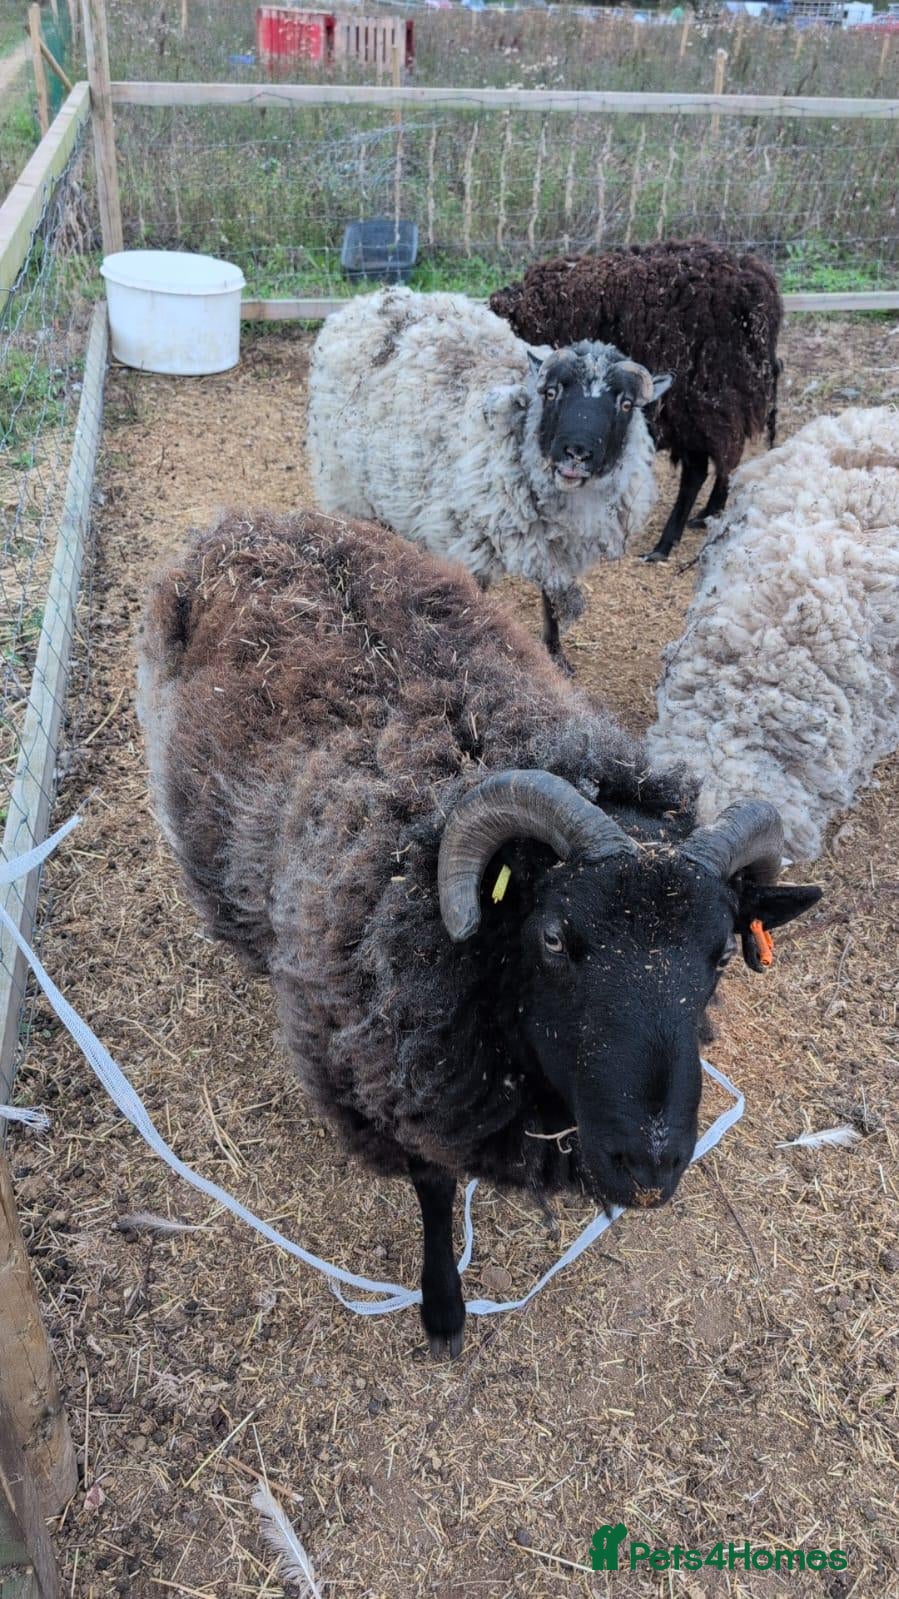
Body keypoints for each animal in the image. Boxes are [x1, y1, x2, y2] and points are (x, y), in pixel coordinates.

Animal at [137, 509, 822, 1358]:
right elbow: (433, 1191)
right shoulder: (397, 1085)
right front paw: (442, 1307)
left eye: (721, 951)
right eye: (555, 938)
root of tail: (244, 524)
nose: (650, 1167)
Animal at [306, 286, 671, 667]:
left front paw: (556, 656)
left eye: (626, 404)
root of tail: (368, 299)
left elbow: (551, 600)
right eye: (552, 392)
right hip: (344, 485)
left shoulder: (556, 550)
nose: (577, 453)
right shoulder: (470, 543)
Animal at [489, 239, 783, 562]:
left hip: (698, 403)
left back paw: (664, 544)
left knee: (700, 469)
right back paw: (708, 513)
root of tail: (758, 284)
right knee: (728, 456)